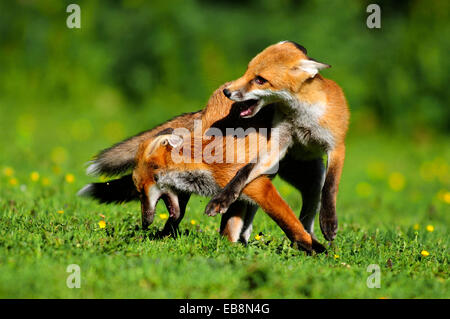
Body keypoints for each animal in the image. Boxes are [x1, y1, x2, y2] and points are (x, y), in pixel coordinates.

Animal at [206, 40, 350, 241]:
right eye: (247, 71)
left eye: (260, 80)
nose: (227, 91)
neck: (302, 117)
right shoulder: (277, 145)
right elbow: (243, 171)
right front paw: (222, 198)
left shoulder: (336, 146)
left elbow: (330, 186)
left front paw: (329, 221)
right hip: (273, 174)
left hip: (314, 181)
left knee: (309, 215)